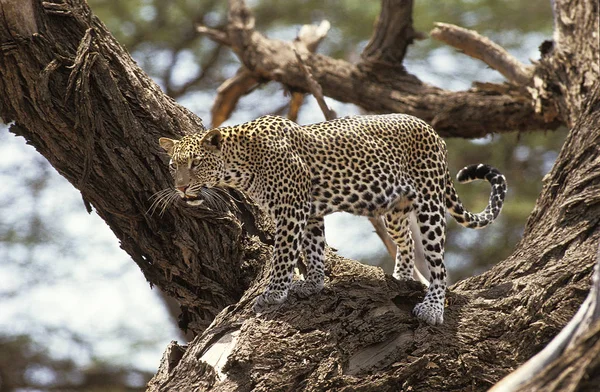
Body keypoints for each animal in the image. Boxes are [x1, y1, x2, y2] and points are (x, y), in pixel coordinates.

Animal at [158, 114, 506, 324]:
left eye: (196, 163)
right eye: (174, 165)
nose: (181, 187)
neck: (239, 164)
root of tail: (433, 132)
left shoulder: (291, 210)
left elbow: (284, 255)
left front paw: (273, 294)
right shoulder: (309, 212)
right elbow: (312, 250)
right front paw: (312, 284)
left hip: (430, 203)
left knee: (439, 264)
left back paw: (432, 307)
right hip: (395, 209)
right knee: (406, 240)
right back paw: (404, 276)